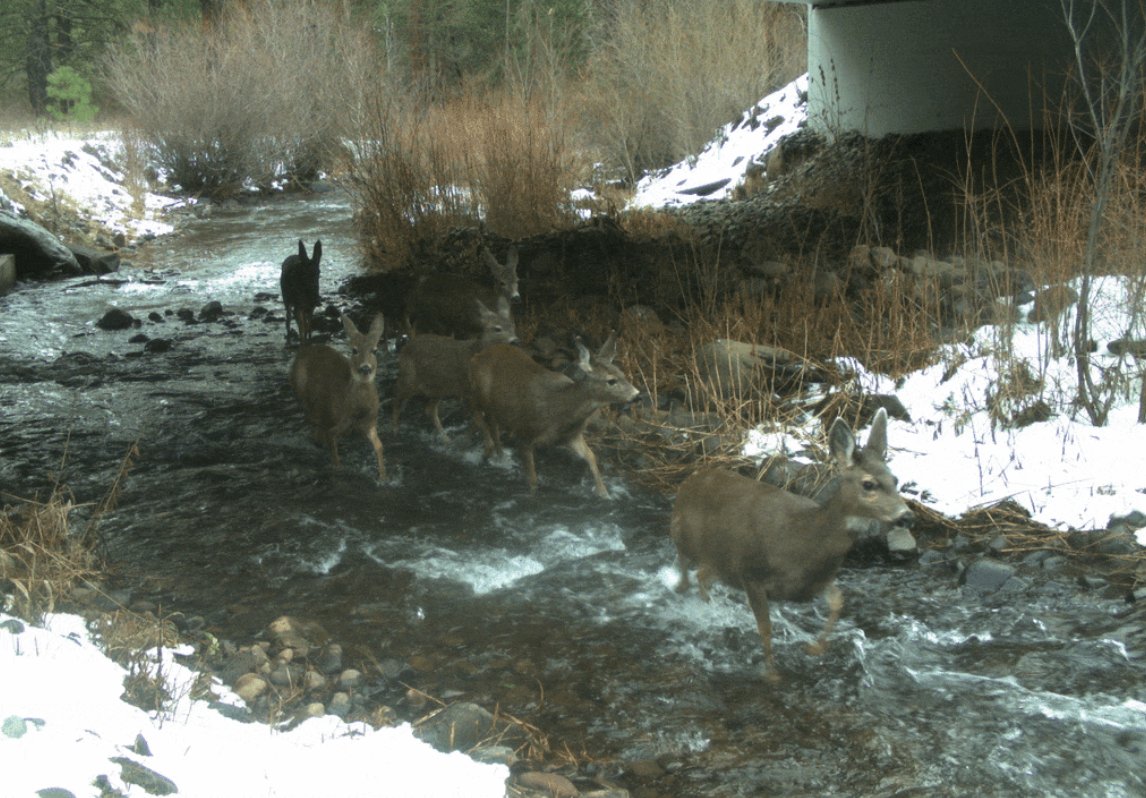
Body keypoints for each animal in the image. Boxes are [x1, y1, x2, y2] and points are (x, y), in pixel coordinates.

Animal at [288, 313, 386, 480]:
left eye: (375, 350)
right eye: (354, 350)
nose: (365, 368)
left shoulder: (370, 422)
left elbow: (379, 446)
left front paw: (384, 477)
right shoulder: (335, 424)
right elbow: (335, 455)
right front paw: (338, 469)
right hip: (304, 397)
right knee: (313, 424)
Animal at [391, 296, 519, 441]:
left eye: (512, 326)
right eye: (497, 328)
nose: (515, 341)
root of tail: (406, 347)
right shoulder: (468, 391)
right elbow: (480, 422)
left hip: (439, 387)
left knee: (429, 409)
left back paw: (446, 439)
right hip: (409, 378)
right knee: (396, 397)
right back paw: (394, 431)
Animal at [468, 332, 639, 498]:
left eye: (623, 374)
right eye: (611, 380)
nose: (638, 395)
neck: (559, 412)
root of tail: (478, 355)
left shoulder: (572, 435)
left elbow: (591, 457)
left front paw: (604, 494)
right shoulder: (524, 434)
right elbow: (533, 480)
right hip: (482, 397)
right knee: (485, 422)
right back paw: (496, 456)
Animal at [669, 408, 913, 681]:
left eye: (895, 479)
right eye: (868, 483)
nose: (906, 515)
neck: (802, 538)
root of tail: (690, 479)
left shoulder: (814, 581)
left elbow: (838, 601)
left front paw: (815, 648)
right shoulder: (752, 573)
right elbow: (765, 628)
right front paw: (772, 675)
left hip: (721, 559)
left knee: (703, 574)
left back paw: (709, 607)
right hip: (683, 534)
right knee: (684, 563)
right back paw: (682, 589)